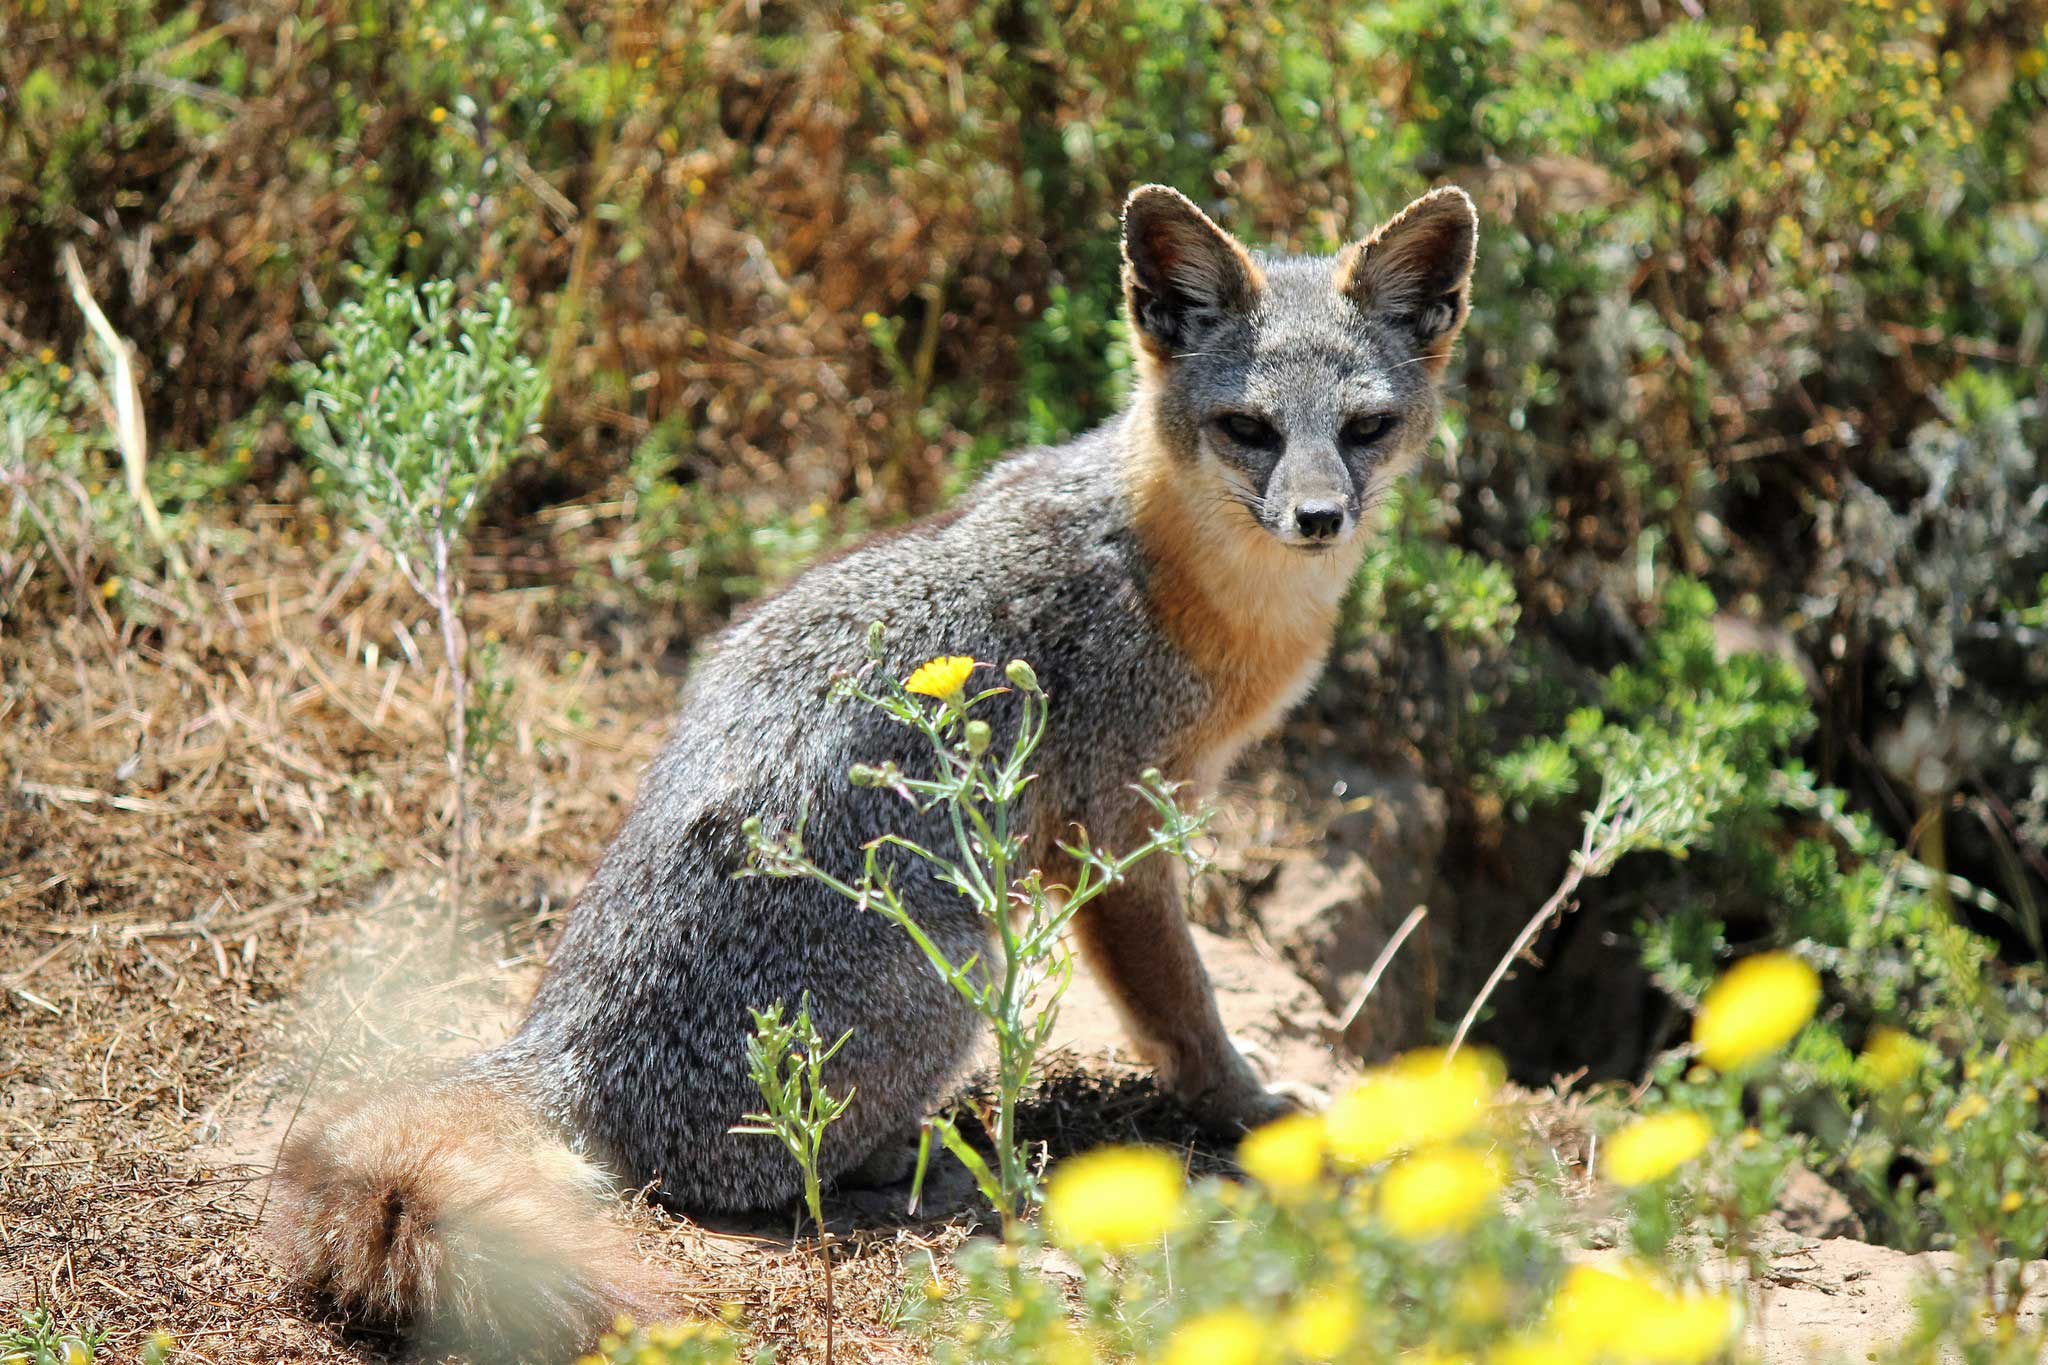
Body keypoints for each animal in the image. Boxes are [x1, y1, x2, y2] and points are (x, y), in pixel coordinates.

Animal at [272, 182, 1479, 1357]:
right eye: (1248, 430)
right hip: (961, 960)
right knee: (771, 1173)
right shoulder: (1115, 834)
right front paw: (1245, 1107)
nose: (1318, 518)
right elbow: (1181, 1007)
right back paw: (916, 1159)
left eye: (1365, 429)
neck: (1185, 580)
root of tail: (561, 1049)